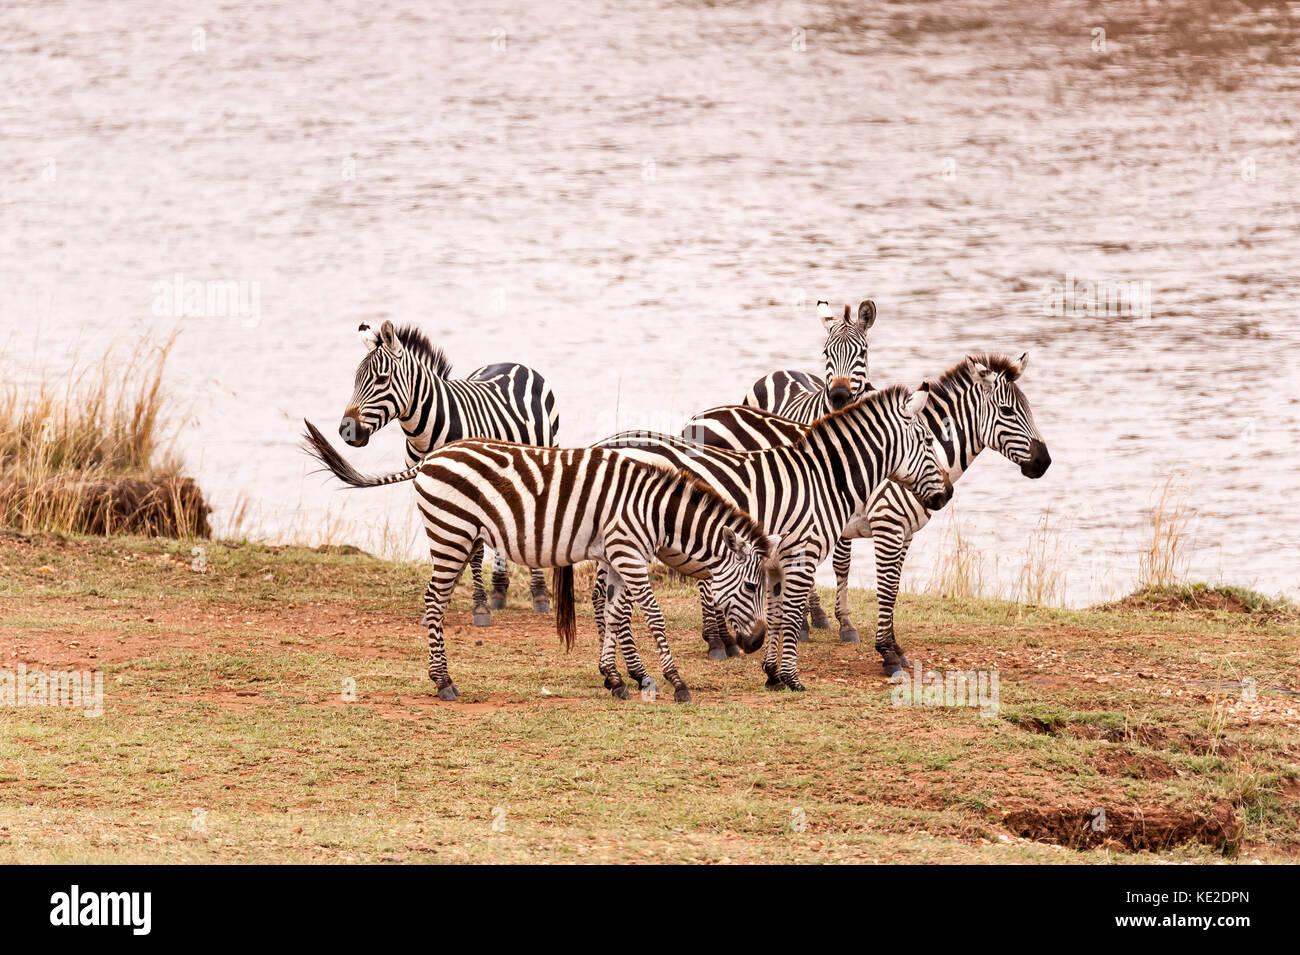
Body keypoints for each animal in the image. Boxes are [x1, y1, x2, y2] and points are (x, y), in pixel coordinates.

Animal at [299, 423, 774, 701]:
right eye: (753, 587)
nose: (754, 644)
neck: (654, 513)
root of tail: (431, 457)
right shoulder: (629, 552)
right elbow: (652, 616)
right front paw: (676, 682)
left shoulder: (617, 555)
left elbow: (615, 614)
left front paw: (617, 678)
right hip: (451, 533)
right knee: (434, 602)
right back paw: (444, 682)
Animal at [335, 320, 559, 628]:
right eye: (356, 380)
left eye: (381, 380)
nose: (346, 431)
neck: (424, 431)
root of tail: (515, 364)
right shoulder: (425, 485)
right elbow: (442, 545)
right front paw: (443, 598)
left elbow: (475, 552)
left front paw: (479, 606)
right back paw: (499, 590)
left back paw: (539, 594)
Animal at [595, 384, 951, 691]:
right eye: (928, 440)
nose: (947, 494)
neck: (823, 480)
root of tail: (605, 444)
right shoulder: (802, 555)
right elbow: (791, 617)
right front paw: (792, 678)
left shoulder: (775, 561)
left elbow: (776, 616)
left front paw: (773, 674)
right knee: (618, 609)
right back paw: (633, 675)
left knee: (607, 602)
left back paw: (616, 674)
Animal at [686, 350, 1050, 670]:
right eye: (1007, 411)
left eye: (1029, 408)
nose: (1044, 463)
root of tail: (697, 419)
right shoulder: (887, 525)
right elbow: (885, 590)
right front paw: (888, 653)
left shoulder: (904, 533)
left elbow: (893, 589)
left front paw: (892, 646)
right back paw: (717, 642)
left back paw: (729, 640)